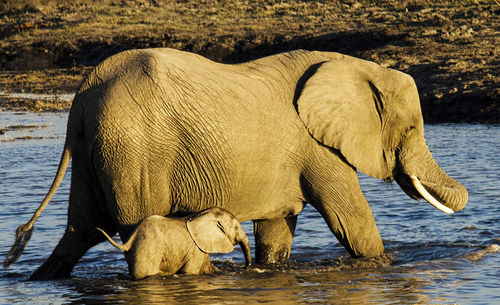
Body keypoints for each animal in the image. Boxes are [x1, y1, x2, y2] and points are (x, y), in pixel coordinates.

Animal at [98, 205, 252, 280]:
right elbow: (190, 272)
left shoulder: (200, 248)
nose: (245, 267)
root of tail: (129, 242)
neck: (201, 215)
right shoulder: (195, 249)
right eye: (236, 228)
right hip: (146, 252)